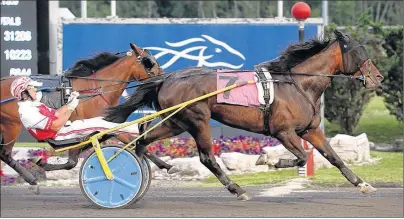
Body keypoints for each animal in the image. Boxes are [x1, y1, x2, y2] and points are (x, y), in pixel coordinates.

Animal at [0, 42, 175, 188]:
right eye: (149, 62)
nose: (164, 77)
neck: (97, 89)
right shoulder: (94, 124)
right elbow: (72, 160)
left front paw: (166, 165)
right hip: (12, 125)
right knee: (5, 153)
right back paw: (30, 178)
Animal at [105, 29, 384, 200]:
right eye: (359, 52)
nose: (379, 77)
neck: (298, 84)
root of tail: (168, 78)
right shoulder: (283, 132)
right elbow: (302, 157)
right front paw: (271, 161)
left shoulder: (310, 130)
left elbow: (334, 157)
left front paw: (362, 184)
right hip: (197, 119)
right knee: (207, 158)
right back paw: (237, 189)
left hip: (176, 121)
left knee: (142, 140)